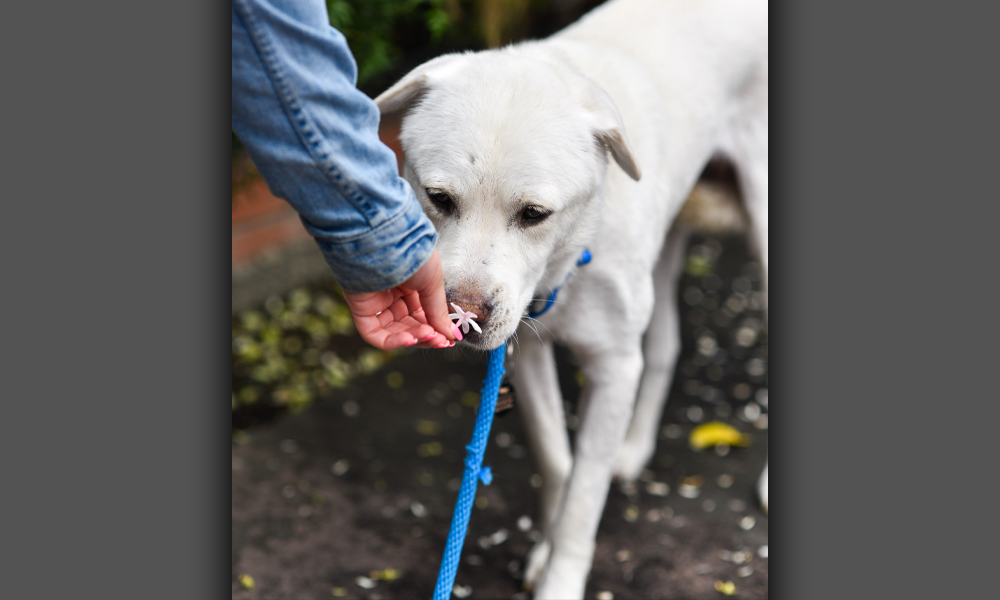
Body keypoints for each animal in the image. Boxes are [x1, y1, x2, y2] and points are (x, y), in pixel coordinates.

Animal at [376, 1, 764, 596]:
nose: (465, 319)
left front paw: (561, 577)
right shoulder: (526, 355)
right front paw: (545, 547)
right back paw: (634, 448)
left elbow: (585, 491)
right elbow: (558, 462)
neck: (573, 254)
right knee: (666, 345)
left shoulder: (613, 367)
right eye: (438, 198)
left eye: (534, 214)